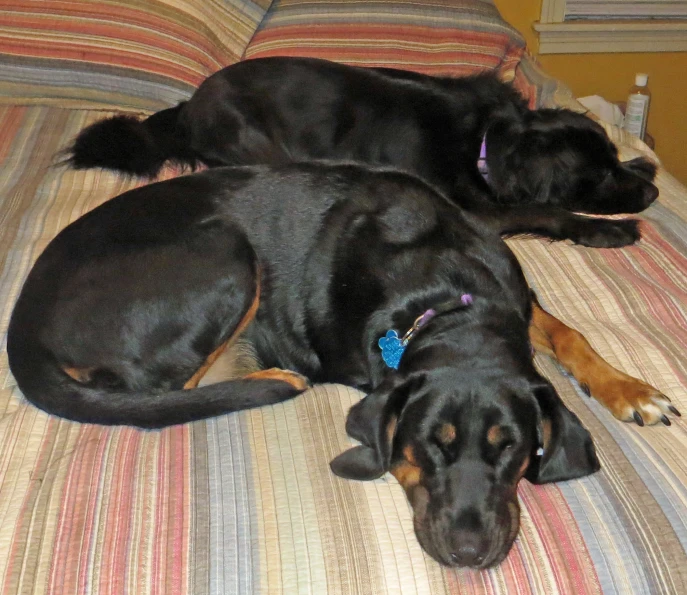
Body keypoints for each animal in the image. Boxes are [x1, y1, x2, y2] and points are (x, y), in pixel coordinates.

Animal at [6, 162, 676, 568]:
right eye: (426, 446)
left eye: (510, 448)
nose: (469, 553)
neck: (444, 300)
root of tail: (23, 317)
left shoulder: (509, 285)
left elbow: (569, 331)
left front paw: (628, 387)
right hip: (225, 251)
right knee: (158, 389)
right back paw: (264, 377)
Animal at [70, 57, 660, 225]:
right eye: (597, 176)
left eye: (614, 160)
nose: (655, 197)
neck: (486, 138)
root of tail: (190, 105)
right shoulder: (477, 210)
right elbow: (546, 212)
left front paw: (648, 164)